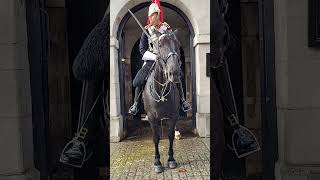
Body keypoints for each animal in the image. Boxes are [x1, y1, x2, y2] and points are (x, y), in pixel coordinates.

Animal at [143, 28, 182, 173]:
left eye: (177, 43)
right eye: (160, 45)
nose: (174, 73)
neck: (161, 92)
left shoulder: (173, 116)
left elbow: (170, 136)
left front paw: (171, 159)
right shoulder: (152, 118)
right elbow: (156, 138)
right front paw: (157, 162)